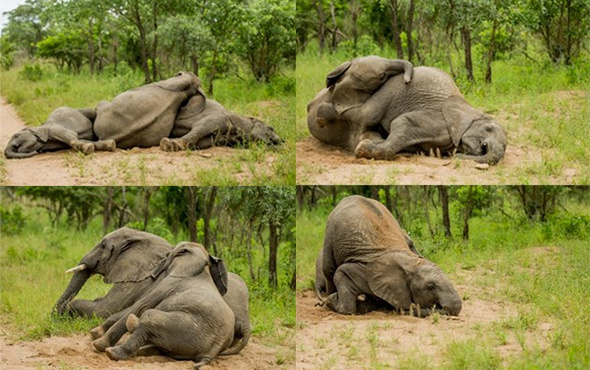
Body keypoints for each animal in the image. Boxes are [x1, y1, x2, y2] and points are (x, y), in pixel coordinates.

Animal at [92, 241, 236, 368]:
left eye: (171, 254)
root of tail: (211, 354)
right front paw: (96, 333)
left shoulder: (171, 282)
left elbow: (142, 304)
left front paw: (98, 343)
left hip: (184, 327)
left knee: (149, 317)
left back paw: (112, 351)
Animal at [310, 55, 508, 165]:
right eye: (488, 129)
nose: (456, 158)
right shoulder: (439, 118)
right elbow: (403, 122)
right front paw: (364, 149)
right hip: (388, 90)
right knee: (367, 114)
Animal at [320, 195, 462, 316]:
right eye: (430, 287)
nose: (442, 308)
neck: (409, 262)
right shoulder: (366, 271)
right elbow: (342, 273)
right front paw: (332, 300)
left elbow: (374, 302)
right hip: (329, 234)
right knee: (329, 269)